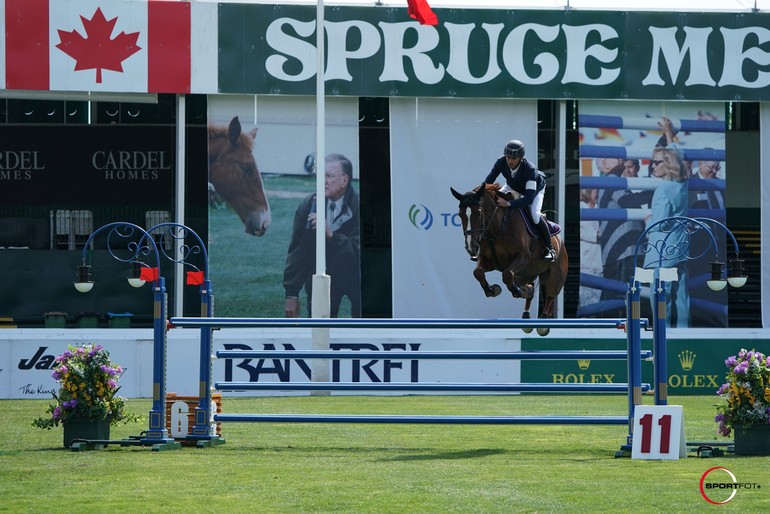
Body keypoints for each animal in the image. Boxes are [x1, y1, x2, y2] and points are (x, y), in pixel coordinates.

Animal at [448, 182, 568, 334]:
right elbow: (478, 272)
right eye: (460, 215)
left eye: (479, 212)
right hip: (527, 274)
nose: (471, 247)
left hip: (553, 276)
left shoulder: (522, 258)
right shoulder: (488, 260)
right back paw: (526, 311)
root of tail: (560, 241)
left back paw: (542, 322)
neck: (497, 227)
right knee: (530, 290)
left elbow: (506, 274)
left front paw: (515, 291)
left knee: (550, 294)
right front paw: (492, 290)